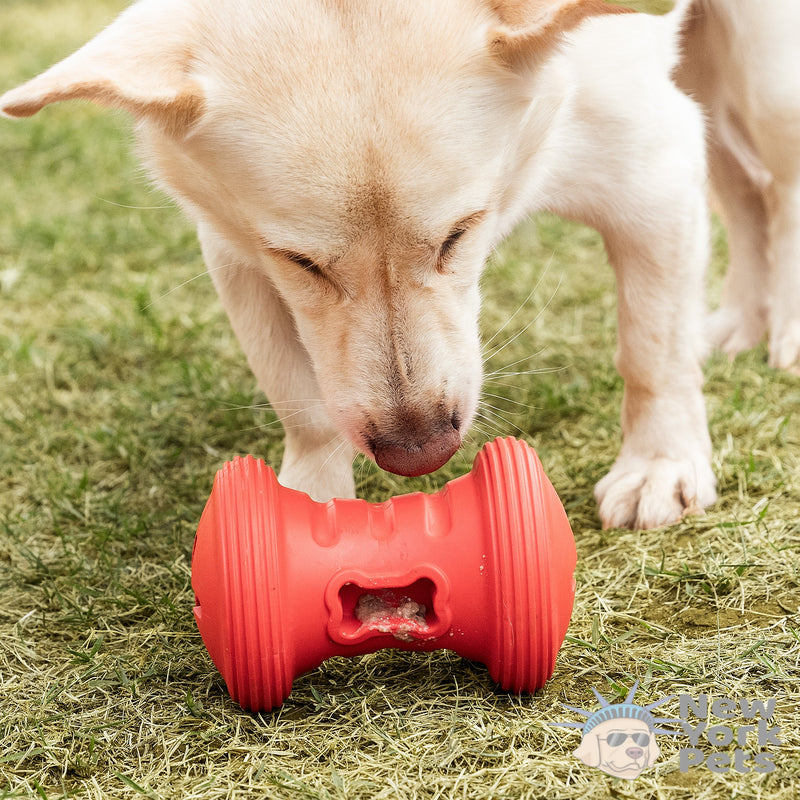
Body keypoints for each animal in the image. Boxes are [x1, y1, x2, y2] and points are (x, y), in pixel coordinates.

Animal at [0, 1, 720, 532]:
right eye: (301, 263)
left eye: (459, 234)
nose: (419, 453)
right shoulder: (235, 250)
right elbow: (300, 401)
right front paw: (311, 500)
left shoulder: (656, 177)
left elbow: (652, 352)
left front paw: (659, 464)